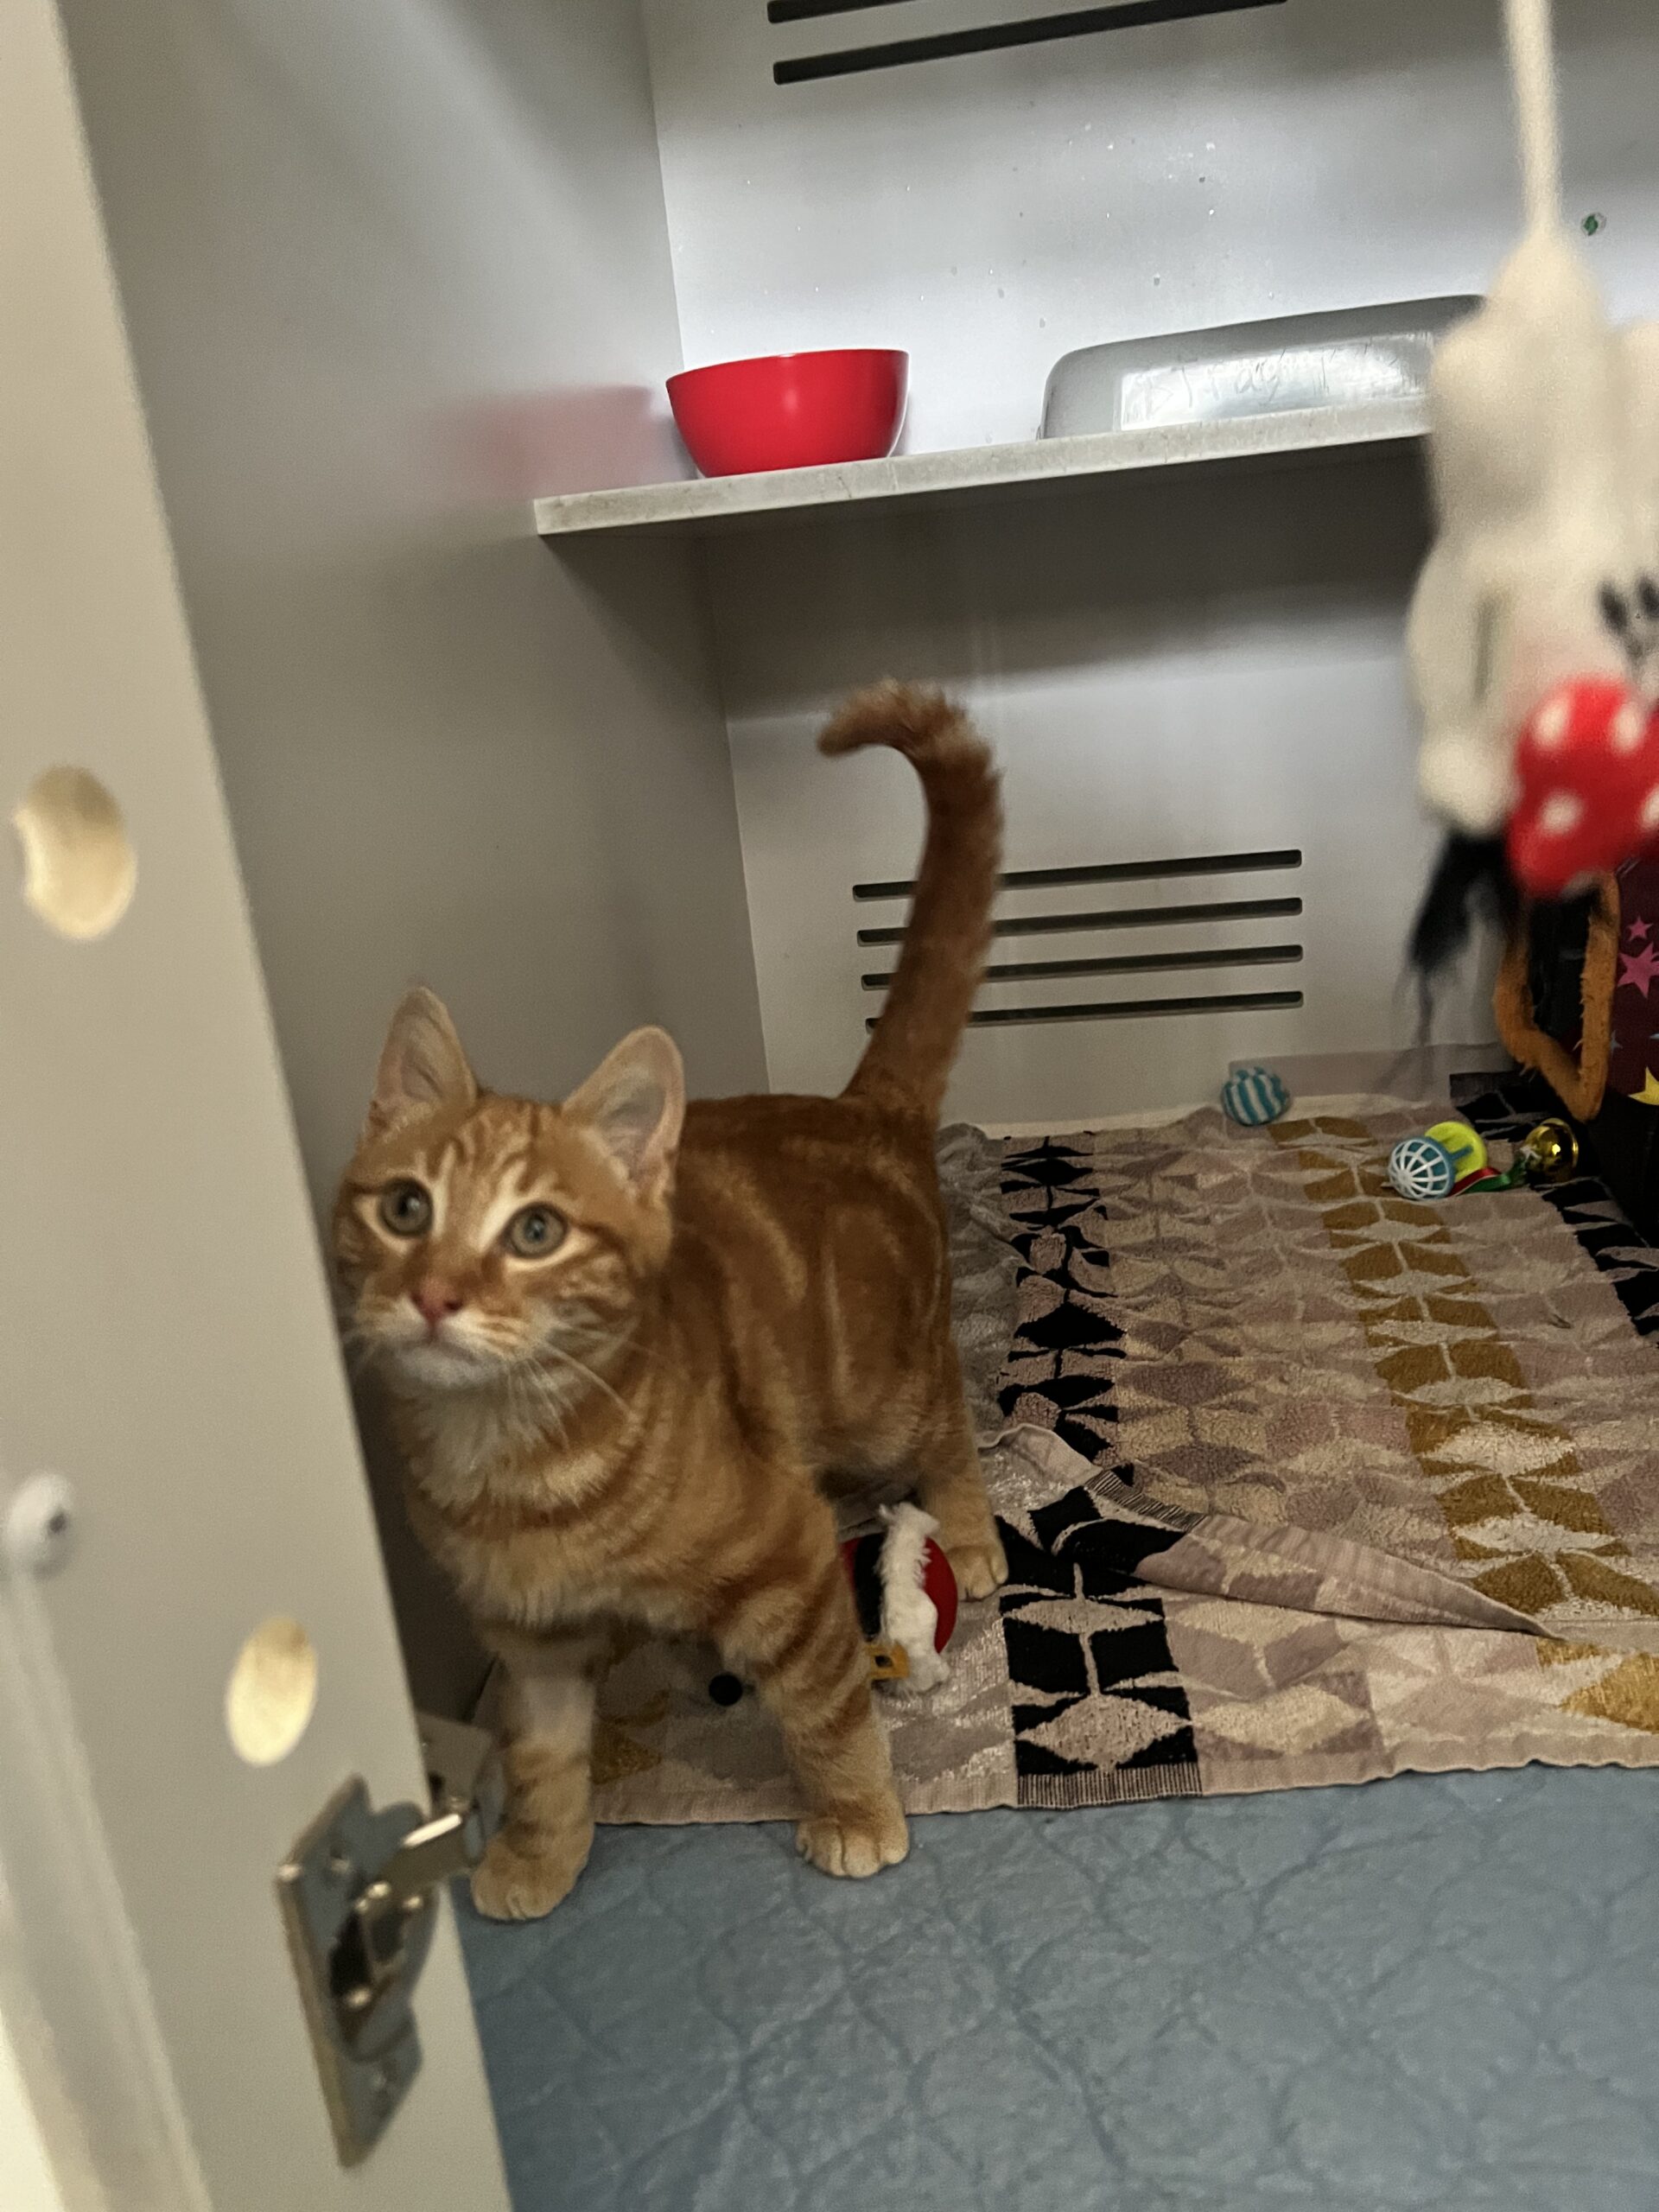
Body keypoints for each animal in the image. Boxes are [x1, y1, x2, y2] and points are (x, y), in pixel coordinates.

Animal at [333, 683, 1007, 1919]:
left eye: (536, 1230)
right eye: (406, 1208)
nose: (438, 1292)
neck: (508, 1457)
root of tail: (857, 1106)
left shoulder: (788, 1550)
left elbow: (828, 1707)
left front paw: (854, 1811)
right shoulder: (531, 1641)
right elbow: (544, 1758)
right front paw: (538, 1855)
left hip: (882, 1391)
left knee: (946, 1416)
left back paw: (973, 1530)